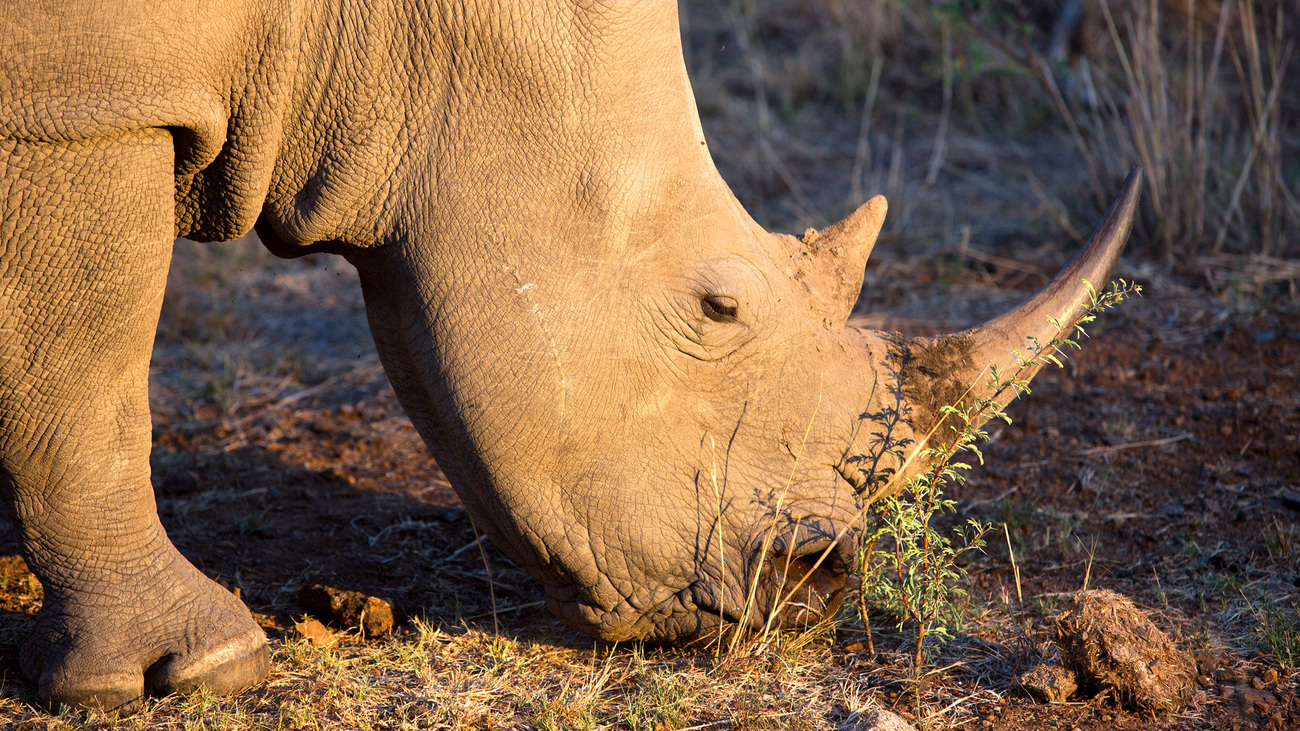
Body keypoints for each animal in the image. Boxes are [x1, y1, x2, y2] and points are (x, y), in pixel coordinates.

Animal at [0, 0, 1138, 712]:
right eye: (718, 306)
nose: (812, 589)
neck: (368, 25)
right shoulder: (82, 104)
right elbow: (86, 374)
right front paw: (200, 668)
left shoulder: (75, 96)